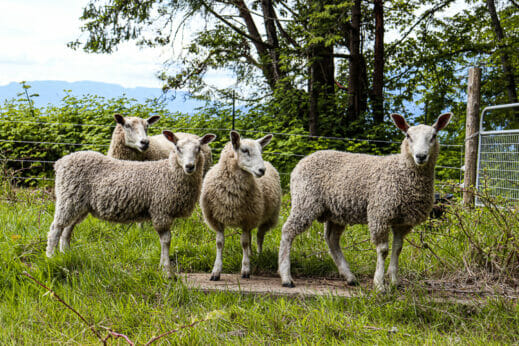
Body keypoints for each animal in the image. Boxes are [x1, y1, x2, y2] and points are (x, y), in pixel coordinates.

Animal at [44, 128, 215, 278]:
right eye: (178, 148)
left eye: (198, 148)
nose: (190, 166)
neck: (169, 172)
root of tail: (61, 162)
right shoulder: (161, 210)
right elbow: (166, 240)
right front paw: (167, 271)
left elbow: (164, 241)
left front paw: (162, 266)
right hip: (68, 198)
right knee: (55, 229)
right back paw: (51, 258)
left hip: (79, 204)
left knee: (67, 230)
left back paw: (66, 255)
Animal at [201, 131, 282, 280]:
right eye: (245, 150)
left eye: (261, 151)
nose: (262, 170)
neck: (231, 195)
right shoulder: (217, 219)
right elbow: (220, 243)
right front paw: (216, 271)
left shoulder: (247, 219)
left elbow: (243, 243)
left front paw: (245, 269)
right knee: (250, 237)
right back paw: (250, 255)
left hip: (267, 217)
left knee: (259, 237)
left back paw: (258, 256)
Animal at [278, 113, 452, 290]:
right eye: (408, 136)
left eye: (434, 136)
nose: (421, 156)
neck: (402, 171)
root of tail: (303, 161)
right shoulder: (380, 213)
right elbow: (383, 250)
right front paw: (379, 284)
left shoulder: (403, 221)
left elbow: (397, 249)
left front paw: (394, 281)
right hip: (305, 201)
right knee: (288, 231)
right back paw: (286, 277)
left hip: (335, 211)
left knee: (332, 239)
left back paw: (349, 276)